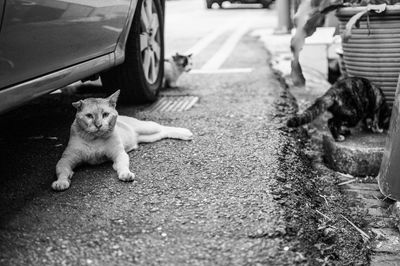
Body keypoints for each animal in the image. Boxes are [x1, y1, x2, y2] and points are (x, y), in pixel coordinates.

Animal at [52, 91, 194, 191]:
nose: (98, 125)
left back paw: (185, 133)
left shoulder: (119, 154)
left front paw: (125, 174)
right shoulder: (66, 159)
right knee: (163, 132)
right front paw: (61, 182)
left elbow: (122, 165)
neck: (94, 139)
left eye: (105, 114)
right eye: (89, 116)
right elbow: (63, 171)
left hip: (148, 128)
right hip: (150, 136)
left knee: (164, 127)